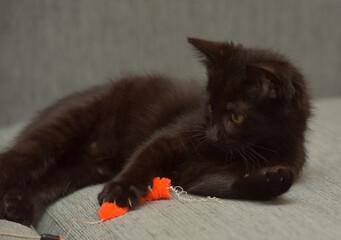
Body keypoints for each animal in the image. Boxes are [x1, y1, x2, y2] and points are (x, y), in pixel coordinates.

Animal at [0, 37, 310, 225]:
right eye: (209, 107)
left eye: (235, 117)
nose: (211, 136)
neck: (252, 148)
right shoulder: (175, 134)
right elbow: (146, 155)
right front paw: (120, 190)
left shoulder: (199, 175)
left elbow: (224, 183)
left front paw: (274, 179)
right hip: (63, 127)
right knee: (16, 161)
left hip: (77, 170)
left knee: (40, 182)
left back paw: (16, 206)